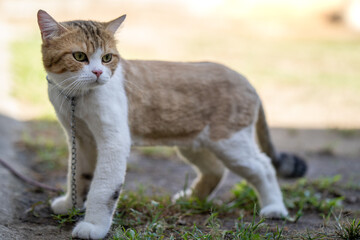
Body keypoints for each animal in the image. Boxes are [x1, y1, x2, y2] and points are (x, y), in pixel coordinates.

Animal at [36, 9, 306, 240]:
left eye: (107, 58)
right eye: (79, 56)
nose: (98, 73)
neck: (75, 98)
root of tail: (244, 78)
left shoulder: (113, 142)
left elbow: (102, 188)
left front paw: (93, 226)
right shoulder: (82, 140)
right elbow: (79, 175)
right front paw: (70, 205)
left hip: (231, 143)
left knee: (263, 166)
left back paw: (275, 208)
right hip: (193, 143)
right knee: (216, 169)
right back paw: (192, 200)